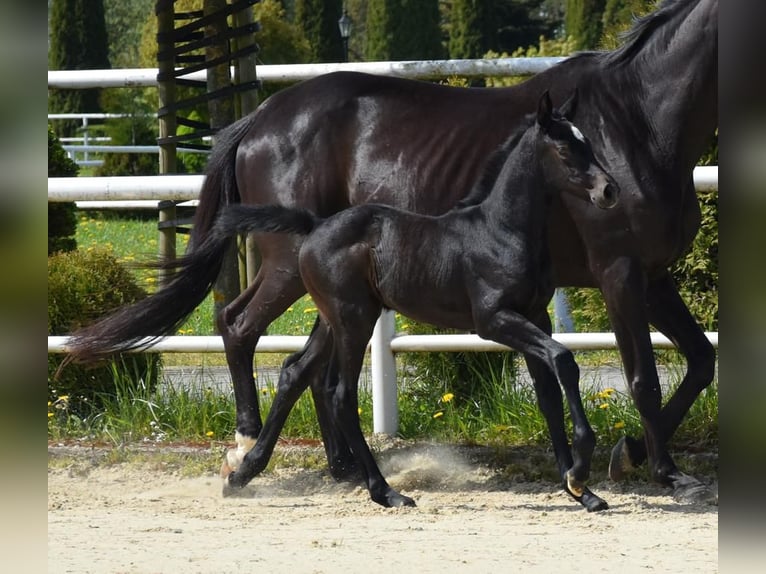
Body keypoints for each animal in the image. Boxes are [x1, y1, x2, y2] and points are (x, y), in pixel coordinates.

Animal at [67, 0, 720, 504]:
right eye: (569, 151)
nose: (608, 190)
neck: (638, 121)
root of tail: (257, 119)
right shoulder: (619, 272)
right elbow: (642, 376)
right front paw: (659, 470)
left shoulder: (653, 277)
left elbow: (698, 359)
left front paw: (626, 456)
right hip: (286, 267)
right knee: (239, 325)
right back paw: (248, 449)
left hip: (340, 297)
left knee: (303, 367)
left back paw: (330, 468)